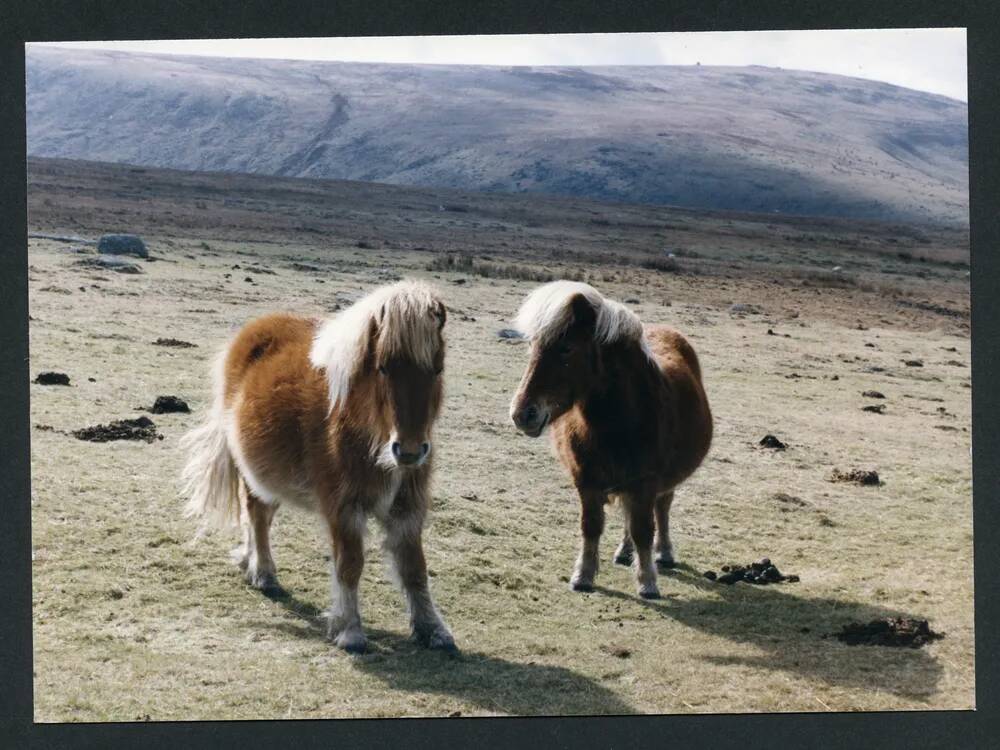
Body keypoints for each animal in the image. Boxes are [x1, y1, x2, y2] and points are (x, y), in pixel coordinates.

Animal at [182, 280, 456, 652]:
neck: (366, 432)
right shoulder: (343, 508)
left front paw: (433, 629)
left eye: (437, 370)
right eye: (383, 367)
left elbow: (414, 568)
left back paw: (249, 563)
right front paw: (350, 630)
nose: (410, 452)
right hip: (253, 472)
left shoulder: (407, 508)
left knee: (259, 516)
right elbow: (350, 564)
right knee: (255, 514)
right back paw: (264, 573)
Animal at [512, 280, 716, 600]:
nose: (522, 414)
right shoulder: (586, 482)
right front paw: (583, 576)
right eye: (532, 345)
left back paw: (664, 553)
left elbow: (644, 530)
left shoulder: (646, 482)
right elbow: (591, 527)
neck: (616, 423)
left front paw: (647, 582)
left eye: (566, 348)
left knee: (662, 508)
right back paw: (624, 552)